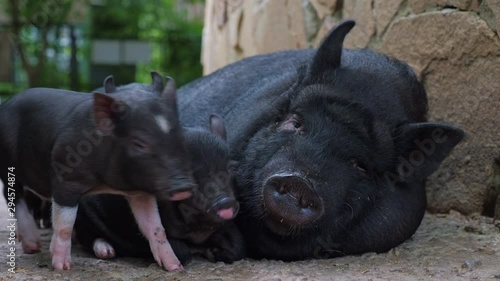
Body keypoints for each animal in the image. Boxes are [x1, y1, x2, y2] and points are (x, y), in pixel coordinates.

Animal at [0, 75, 196, 270]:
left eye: (179, 136)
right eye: (139, 144)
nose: (183, 186)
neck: (104, 184)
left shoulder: (141, 192)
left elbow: (156, 228)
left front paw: (175, 267)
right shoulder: (66, 178)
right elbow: (65, 226)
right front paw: (62, 267)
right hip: (8, 167)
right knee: (13, 196)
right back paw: (32, 246)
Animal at [74, 114, 246, 262]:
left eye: (232, 168)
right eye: (189, 173)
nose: (225, 201)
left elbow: (238, 245)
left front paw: (212, 252)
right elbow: (180, 250)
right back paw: (106, 252)